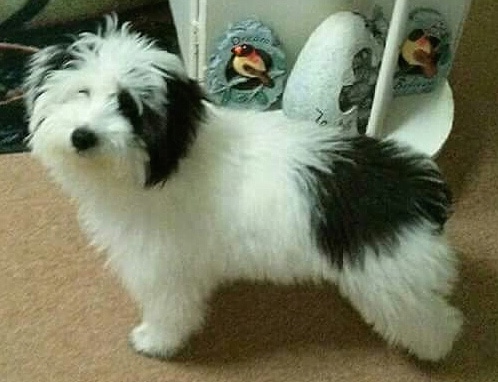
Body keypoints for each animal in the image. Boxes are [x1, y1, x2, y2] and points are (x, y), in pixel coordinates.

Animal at [23, 15, 462, 362]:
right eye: (82, 92)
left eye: (130, 108)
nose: (82, 136)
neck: (169, 163)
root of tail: (421, 186)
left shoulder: (164, 267)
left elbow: (170, 311)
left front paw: (155, 342)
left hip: (390, 281)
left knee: (431, 321)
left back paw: (440, 348)